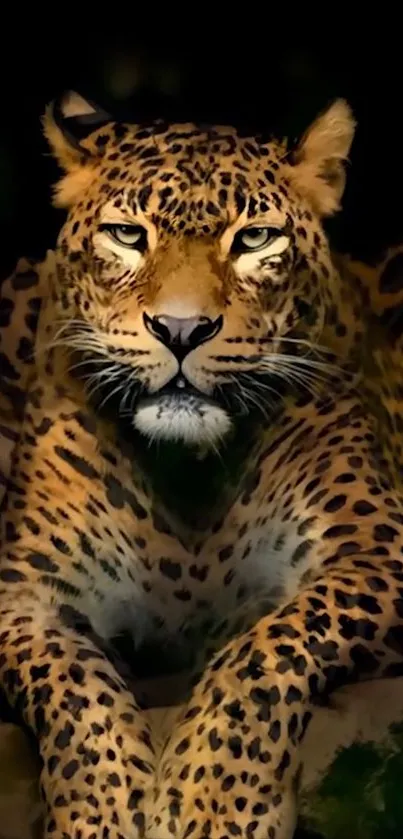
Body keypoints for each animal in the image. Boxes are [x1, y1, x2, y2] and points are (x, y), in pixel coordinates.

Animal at [1, 90, 403, 839]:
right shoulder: (26, 597)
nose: (181, 329)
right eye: (128, 235)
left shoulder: (373, 553)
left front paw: (214, 802)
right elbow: (74, 689)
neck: (186, 474)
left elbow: (270, 646)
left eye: (255, 239)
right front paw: (103, 810)